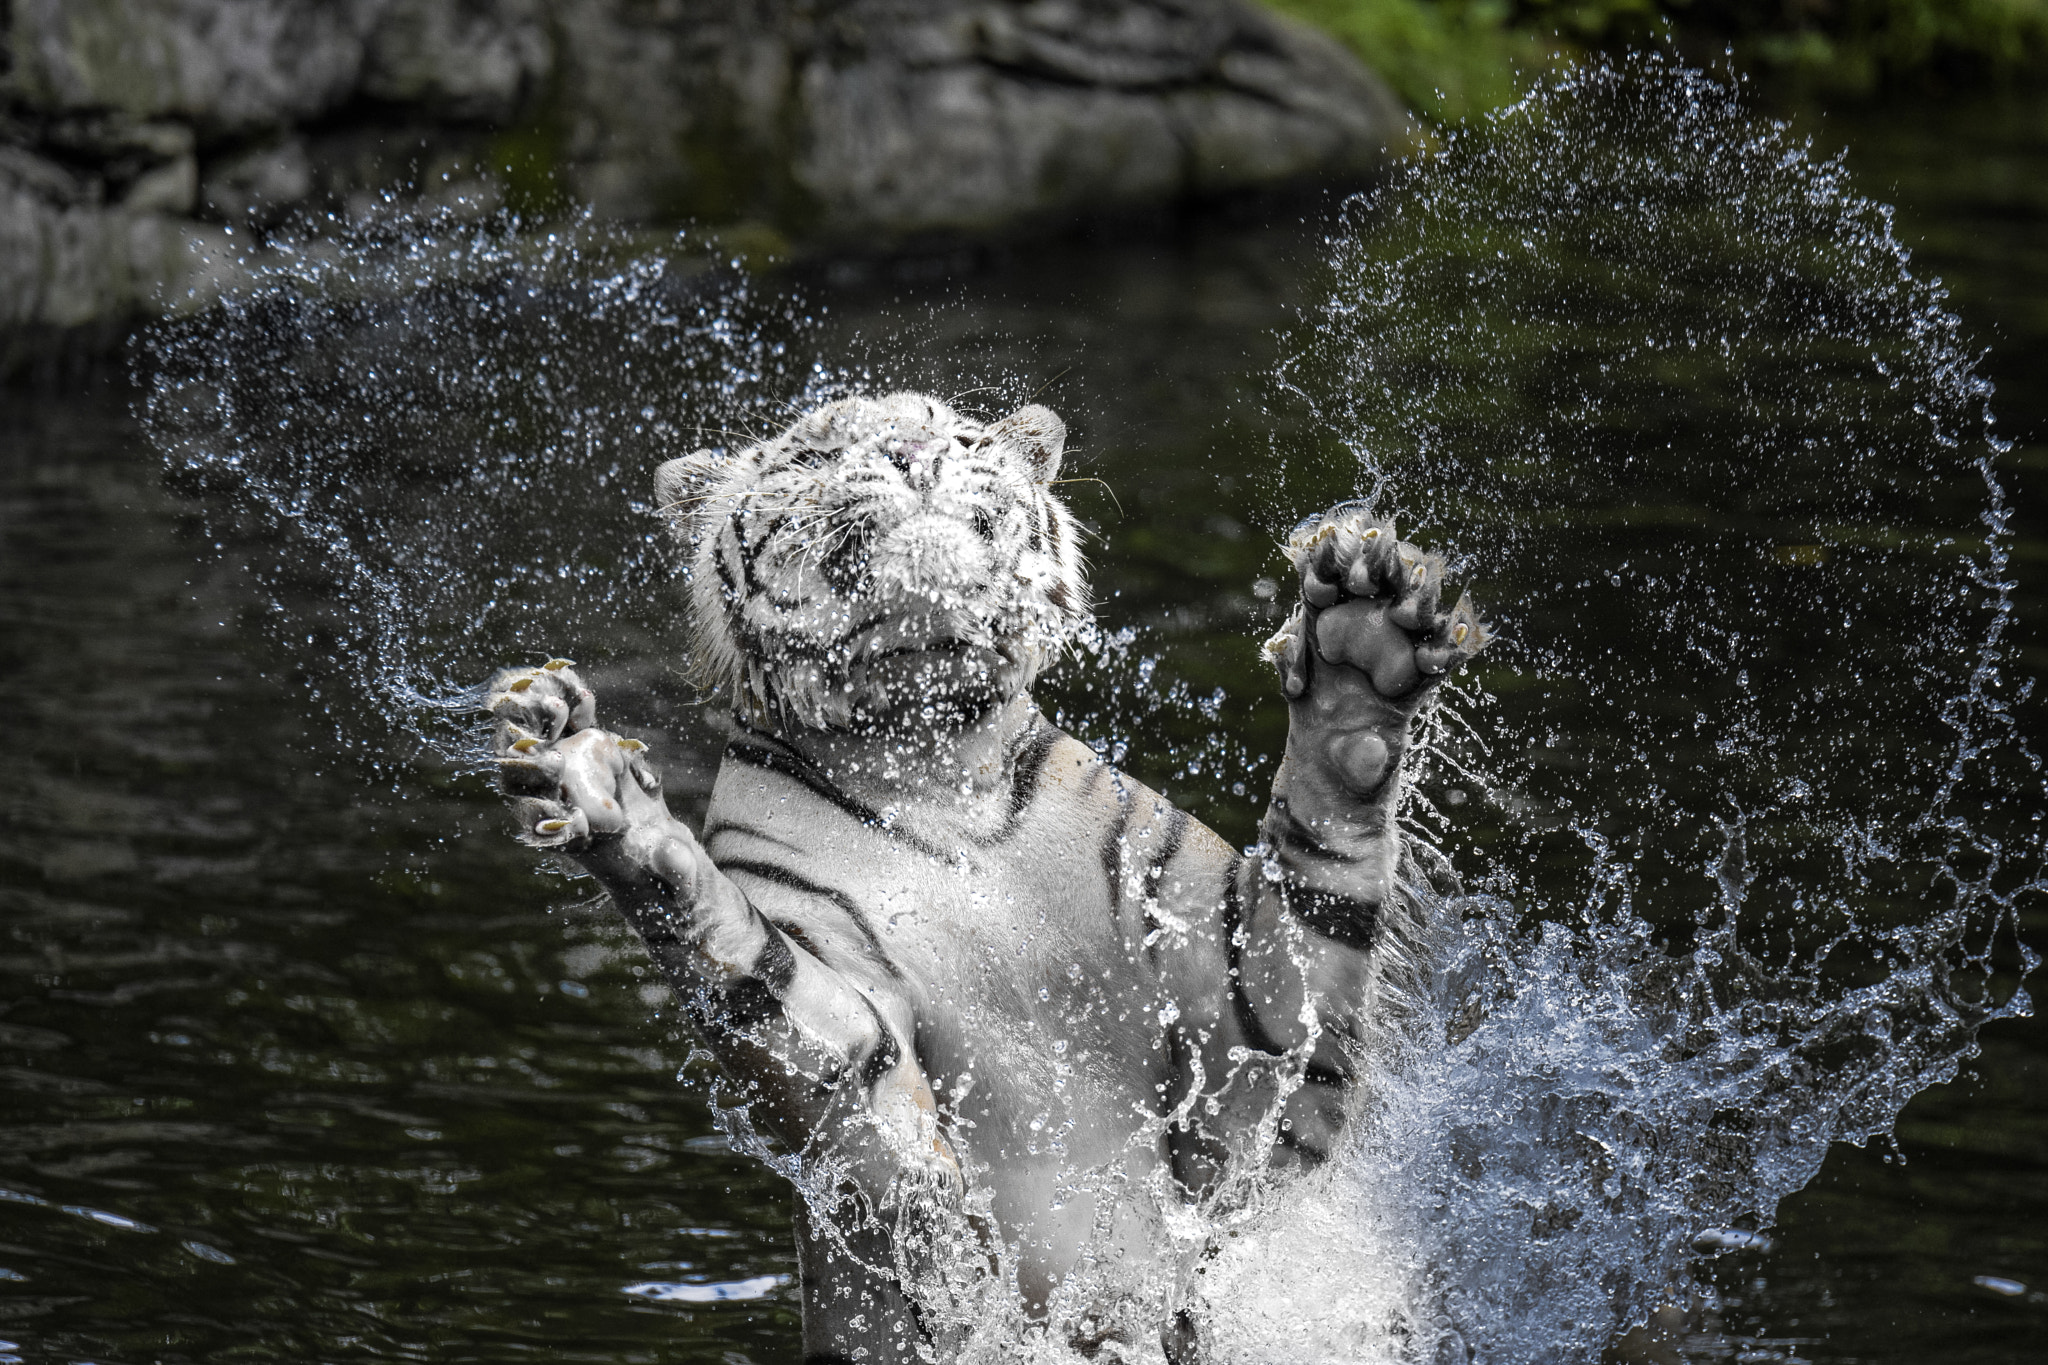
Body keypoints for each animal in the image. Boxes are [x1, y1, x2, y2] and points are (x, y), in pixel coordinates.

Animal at [486, 392, 1487, 1363]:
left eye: (958, 438)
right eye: (813, 457)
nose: (913, 458)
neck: (936, 773)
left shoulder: (1236, 1019)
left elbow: (1312, 895)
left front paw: (1362, 644)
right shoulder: (850, 1021)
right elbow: (787, 1003)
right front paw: (604, 788)